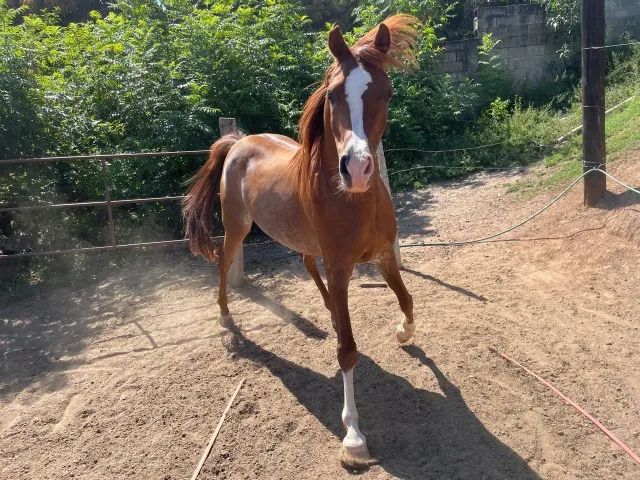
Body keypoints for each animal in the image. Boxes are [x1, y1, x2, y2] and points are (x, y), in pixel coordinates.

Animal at [183, 15, 419, 467]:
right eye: (332, 94)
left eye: (388, 93)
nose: (357, 169)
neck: (354, 201)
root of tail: (238, 141)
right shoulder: (341, 266)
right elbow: (347, 350)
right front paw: (354, 437)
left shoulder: (383, 255)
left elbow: (407, 300)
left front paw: (402, 332)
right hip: (237, 227)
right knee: (224, 263)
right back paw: (226, 318)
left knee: (307, 263)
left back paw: (328, 312)